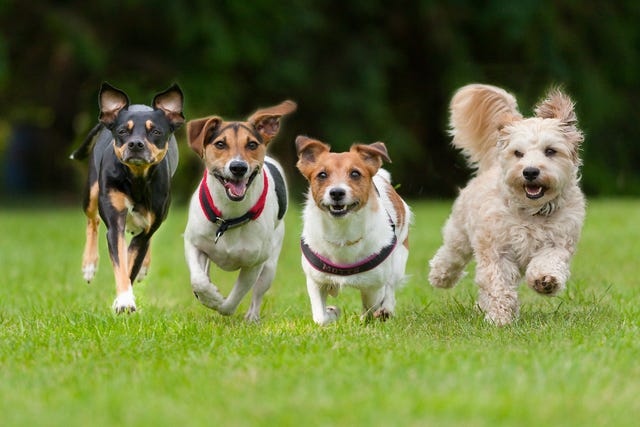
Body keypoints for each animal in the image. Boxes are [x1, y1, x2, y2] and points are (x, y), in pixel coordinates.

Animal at [71, 82, 184, 312]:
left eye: (156, 131)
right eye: (123, 131)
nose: (136, 144)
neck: (136, 180)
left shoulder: (146, 230)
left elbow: (132, 264)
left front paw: (124, 299)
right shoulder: (115, 224)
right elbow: (121, 264)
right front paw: (124, 300)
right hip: (91, 192)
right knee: (93, 220)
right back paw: (89, 265)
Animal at [184, 100, 296, 320]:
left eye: (252, 144)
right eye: (220, 144)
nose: (238, 167)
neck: (229, 218)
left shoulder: (254, 264)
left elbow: (233, 300)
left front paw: (219, 303)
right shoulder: (193, 243)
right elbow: (198, 280)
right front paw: (209, 295)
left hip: (270, 264)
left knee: (258, 292)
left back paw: (252, 317)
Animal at [296, 137, 410, 328]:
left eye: (355, 174)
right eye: (322, 175)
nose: (336, 192)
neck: (342, 232)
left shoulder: (373, 287)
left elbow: (371, 306)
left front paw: (370, 316)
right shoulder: (315, 281)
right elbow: (320, 318)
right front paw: (332, 312)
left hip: (399, 257)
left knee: (390, 286)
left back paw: (386, 309)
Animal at [430, 83, 584, 324]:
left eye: (550, 151)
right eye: (518, 153)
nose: (530, 171)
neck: (531, 213)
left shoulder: (558, 242)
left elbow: (549, 261)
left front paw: (545, 280)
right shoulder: (496, 250)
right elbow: (497, 283)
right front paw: (499, 318)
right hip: (460, 232)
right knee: (452, 253)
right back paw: (441, 275)